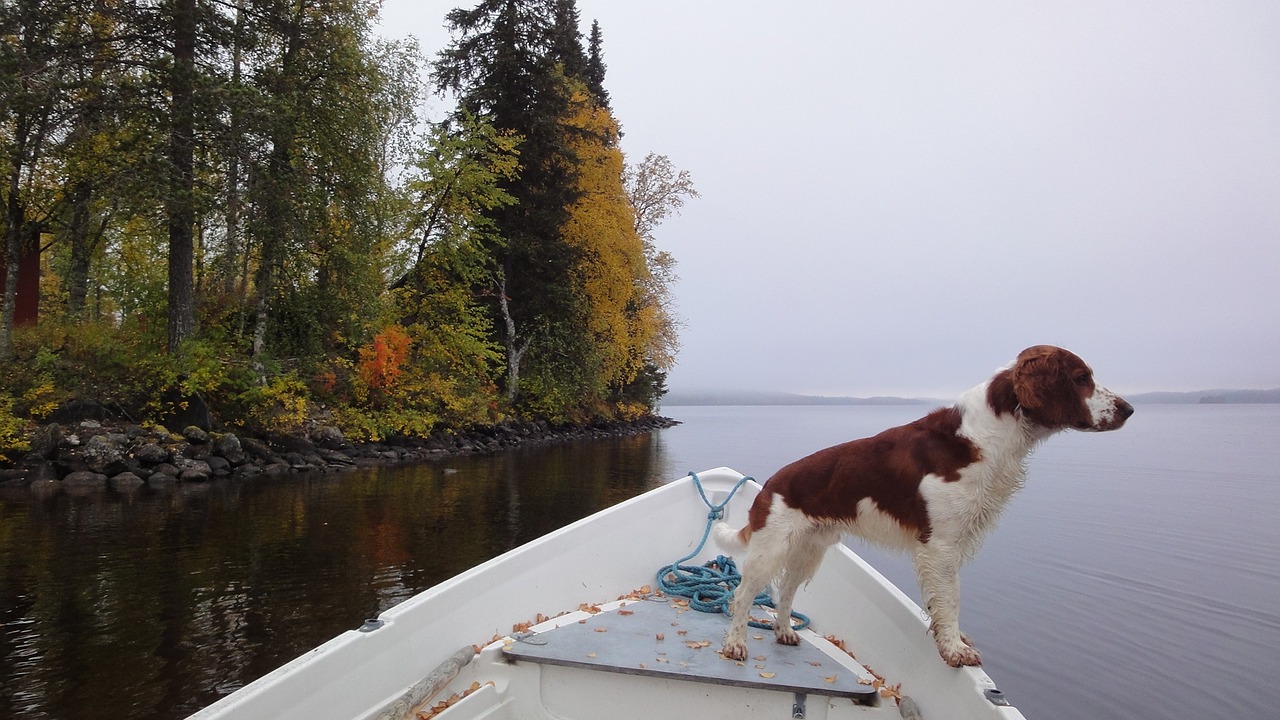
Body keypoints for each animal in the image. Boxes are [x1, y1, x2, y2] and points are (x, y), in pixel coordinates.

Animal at [716, 345, 1136, 666]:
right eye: (1081, 378)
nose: (1129, 409)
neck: (986, 435)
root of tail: (771, 484)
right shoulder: (941, 545)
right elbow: (950, 601)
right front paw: (955, 649)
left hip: (809, 548)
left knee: (785, 590)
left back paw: (785, 631)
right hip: (771, 548)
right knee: (743, 594)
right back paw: (735, 644)